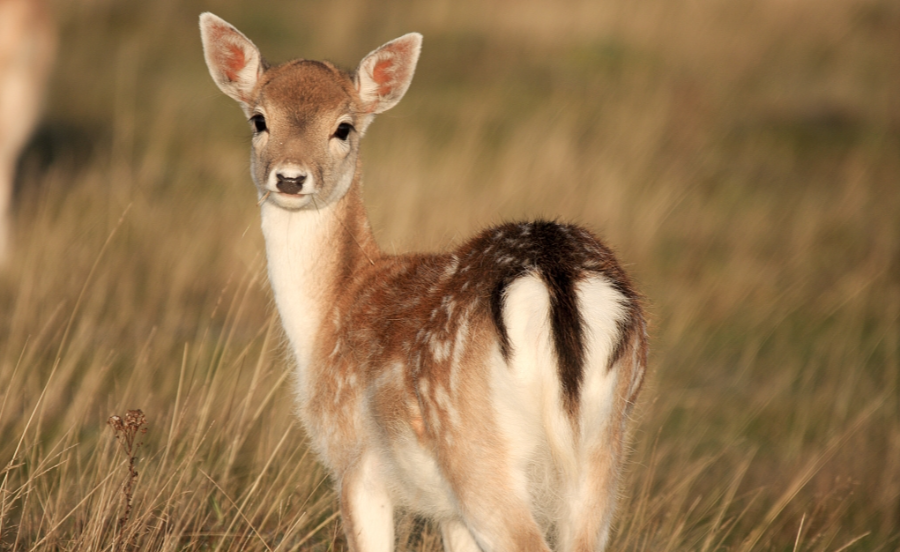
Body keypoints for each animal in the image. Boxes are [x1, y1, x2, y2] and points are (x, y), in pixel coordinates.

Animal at [202, 11, 648, 552]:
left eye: (344, 127)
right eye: (259, 119)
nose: (290, 178)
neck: (330, 312)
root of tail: (554, 274)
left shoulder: (354, 463)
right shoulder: (447, 512)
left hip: (472, 445)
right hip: (606, 446)